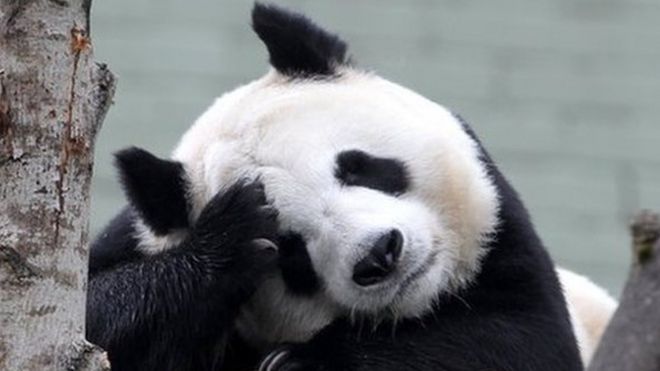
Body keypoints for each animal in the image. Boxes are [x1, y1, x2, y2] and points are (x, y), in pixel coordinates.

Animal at [86, 3, 612, 371]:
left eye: (357, 167)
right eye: (290, 249)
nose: (379, 255)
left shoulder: (505, 245)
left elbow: (517, 340)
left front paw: (302, 362)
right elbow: (96, 315)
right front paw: (229, 240)